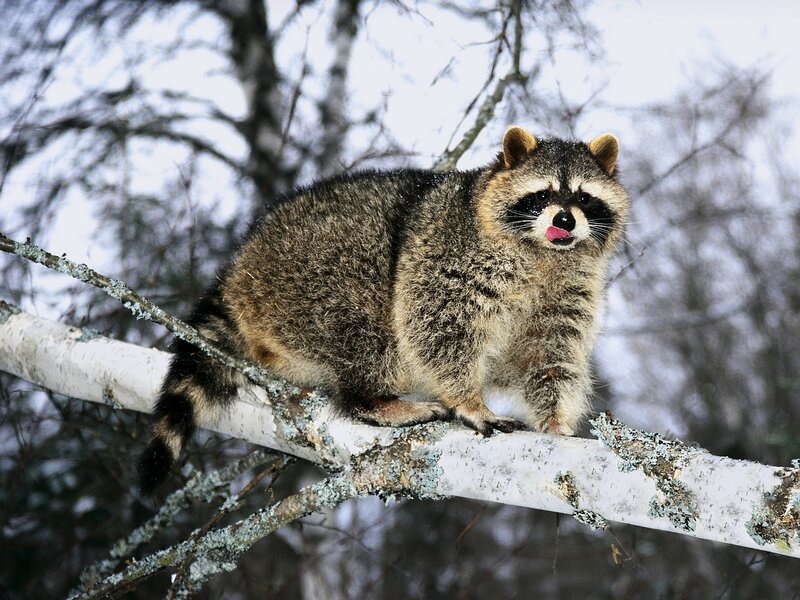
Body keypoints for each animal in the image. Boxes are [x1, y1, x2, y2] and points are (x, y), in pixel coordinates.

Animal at [137, 126, 629, 493]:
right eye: (542, 195)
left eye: (584, 198)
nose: (564, 220)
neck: (545, 255)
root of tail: (239, 268)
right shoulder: (449, 255)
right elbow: (436, 324)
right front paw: (468, 399)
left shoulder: (568, 290)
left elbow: (550, 354)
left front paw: (556, 419)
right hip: (307, 275)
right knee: (368, 325)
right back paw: (371, 399)